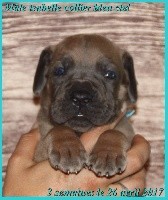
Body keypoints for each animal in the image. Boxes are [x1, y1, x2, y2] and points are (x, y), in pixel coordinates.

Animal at [33, 34, 138, 177]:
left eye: (110, 74)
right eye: (59, 71)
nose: (80, 97)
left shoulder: (127, 132)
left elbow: (113, 132)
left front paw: (107, 153)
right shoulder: (39, 152)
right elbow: (60, 128)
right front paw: (67, 149)